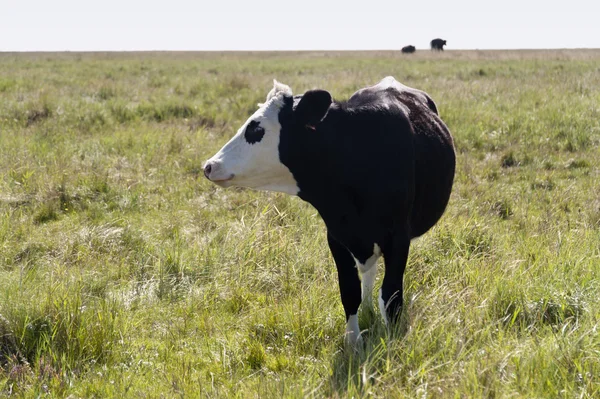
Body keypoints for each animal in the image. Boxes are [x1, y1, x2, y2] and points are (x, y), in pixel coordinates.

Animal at [204, 77, 458, 346]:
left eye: (256, 129)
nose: (209, 166)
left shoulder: (398, 239)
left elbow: (391, 297)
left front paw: (390, 344)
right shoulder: (336, 236)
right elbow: (349, 291)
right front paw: (354, 343)